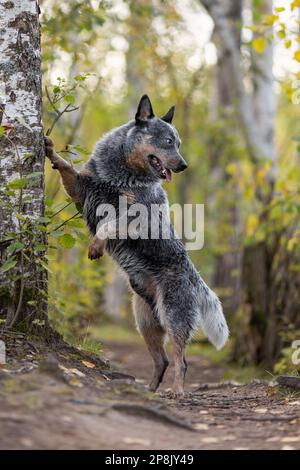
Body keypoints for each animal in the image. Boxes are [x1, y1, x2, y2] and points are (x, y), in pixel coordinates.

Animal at [44, 93, 229, 394]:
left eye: (178, 143)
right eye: (168, 141)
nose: (183, 165)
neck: (121, 172)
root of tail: (195, 277)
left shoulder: (139, 215)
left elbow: (108, 225)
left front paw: (95, 246)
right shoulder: (82, 191)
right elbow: (67, 167)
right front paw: (49, 148)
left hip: (174, 317)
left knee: (181, 361)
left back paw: (177, 392)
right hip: (145, 323)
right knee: (162, 360)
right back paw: (149, 391)